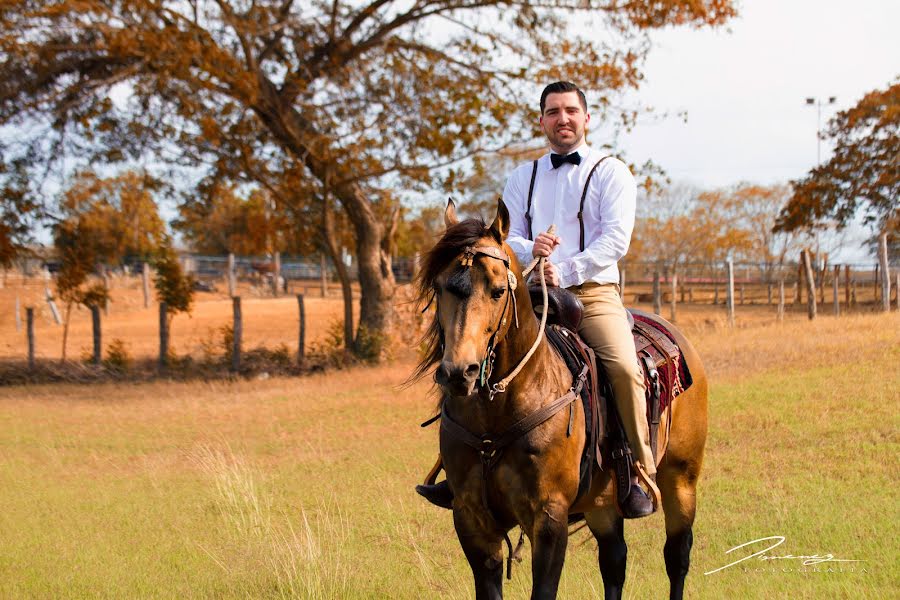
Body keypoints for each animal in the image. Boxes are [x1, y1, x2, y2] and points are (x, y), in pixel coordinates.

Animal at [412, 200, 708, 600]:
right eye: (441, 287)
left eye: (497, 291)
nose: (460, 372)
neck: (498, 412)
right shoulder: (471, 518)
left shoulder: (549, 517)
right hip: (603, 501)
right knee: (614, 561)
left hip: (681, 478)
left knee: (677, 556)